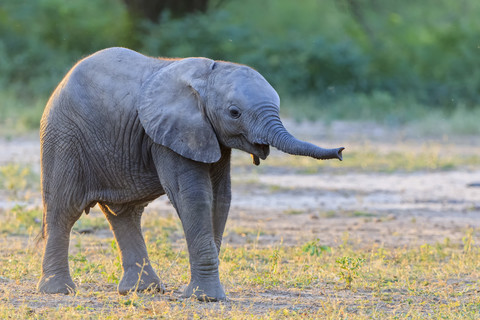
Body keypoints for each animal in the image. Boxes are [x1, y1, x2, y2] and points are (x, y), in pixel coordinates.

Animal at [38, 47, 344, 300]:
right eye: (234, 112)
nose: (341, 151)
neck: (207, 76)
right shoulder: (169, 134)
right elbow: (194, 196)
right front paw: (205, 298)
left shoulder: (210, 135)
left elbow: (221, 197)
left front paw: (201, 292)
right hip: (63, 136)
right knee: (64, 209)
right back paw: (59, 291)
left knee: (124, 214)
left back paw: (143, 290)